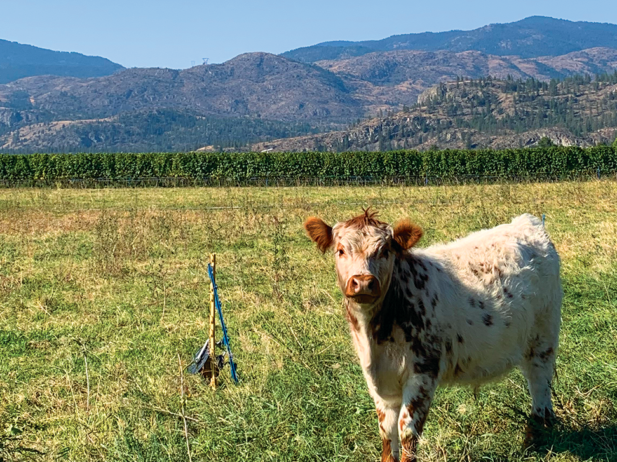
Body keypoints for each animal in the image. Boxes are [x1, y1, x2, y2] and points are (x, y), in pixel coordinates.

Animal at [302, 210, 560, 462]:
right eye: (340, 250)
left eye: (384, 251)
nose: (363, 282)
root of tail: (527, 222)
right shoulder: (378, 381)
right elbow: (387, 432)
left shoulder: (423, 372)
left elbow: (407, 431)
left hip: (544, 336)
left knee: (540, 384)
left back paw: (537, 437)